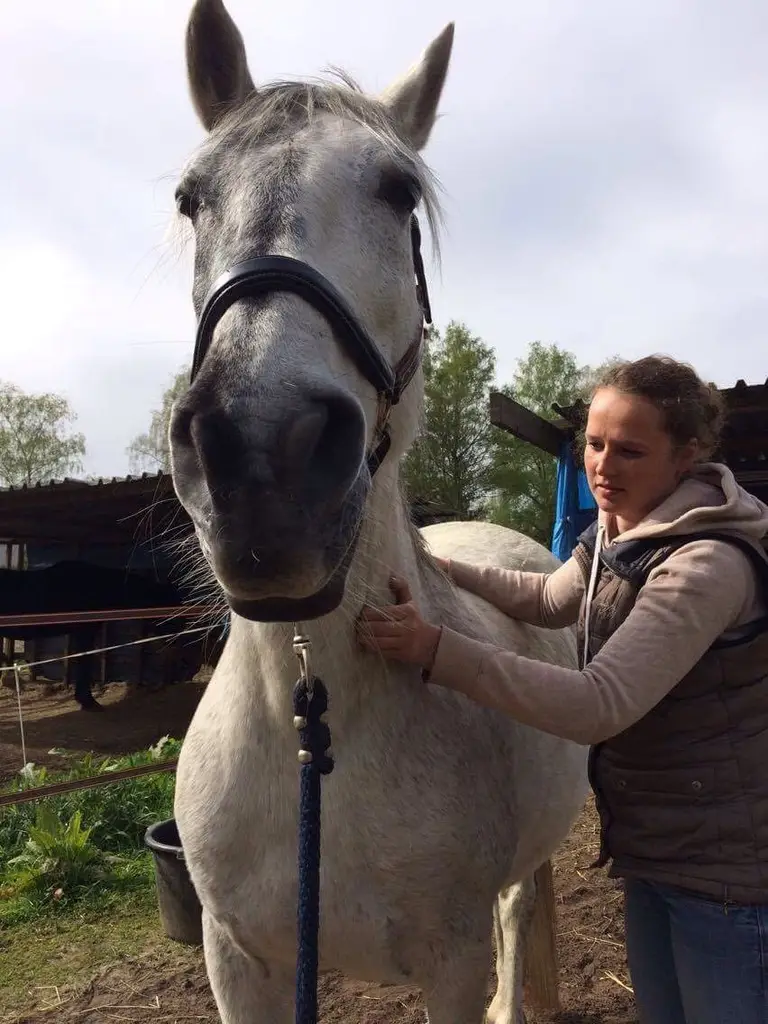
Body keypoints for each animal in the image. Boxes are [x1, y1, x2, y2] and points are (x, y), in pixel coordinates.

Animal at [168, 3, 589, 1022]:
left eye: (399, 193)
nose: (262, 454)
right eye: (191, 198)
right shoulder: (236, 960)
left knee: (522, 908)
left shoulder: (450, 963)